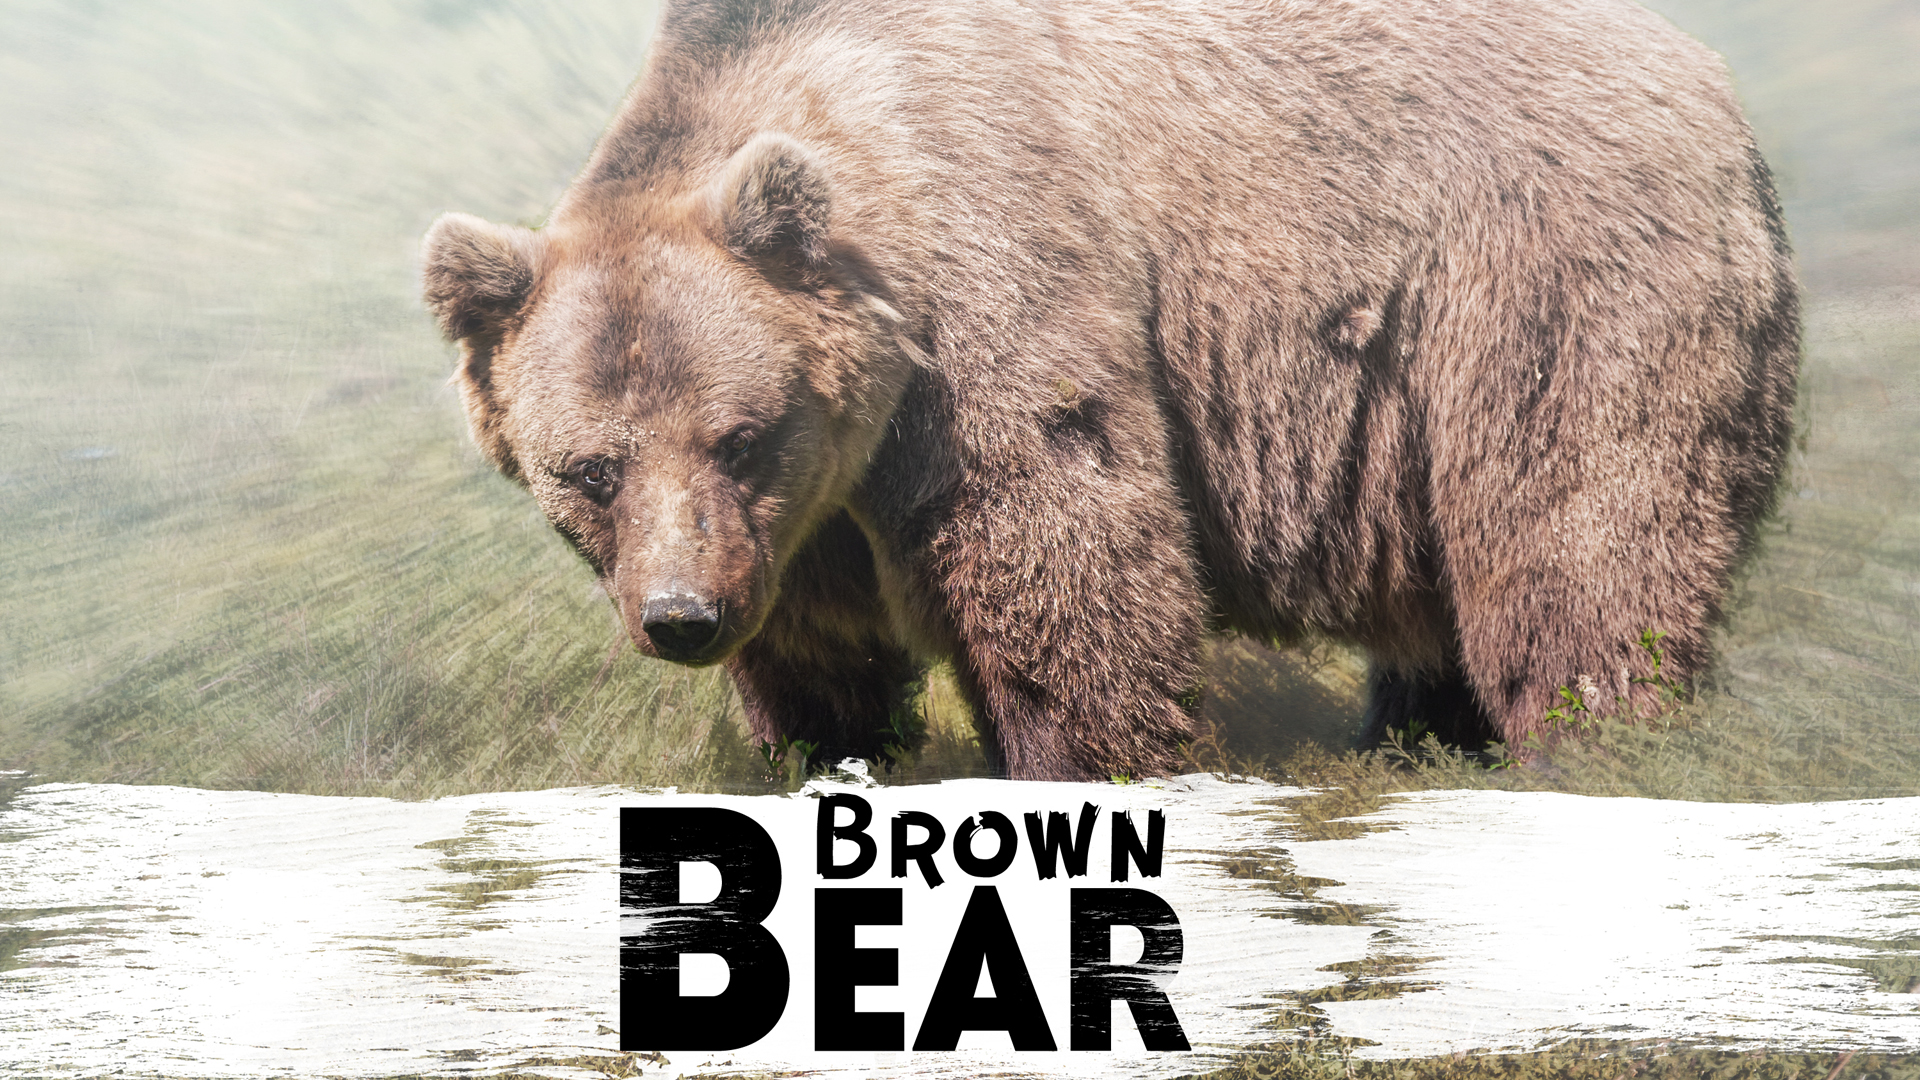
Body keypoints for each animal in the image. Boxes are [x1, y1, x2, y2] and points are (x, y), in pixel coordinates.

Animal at [422, 0, 1799, 780]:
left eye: (740, 435)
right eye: (588, 470)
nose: (681, 617)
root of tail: (1714, 82)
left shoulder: (984, 297)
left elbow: (1062, 550)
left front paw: (1079, 759)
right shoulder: (804, 515)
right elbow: (818, 646)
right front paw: (817, 749)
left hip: (1539, 285)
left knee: (1578, 544)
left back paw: (1597, 745)